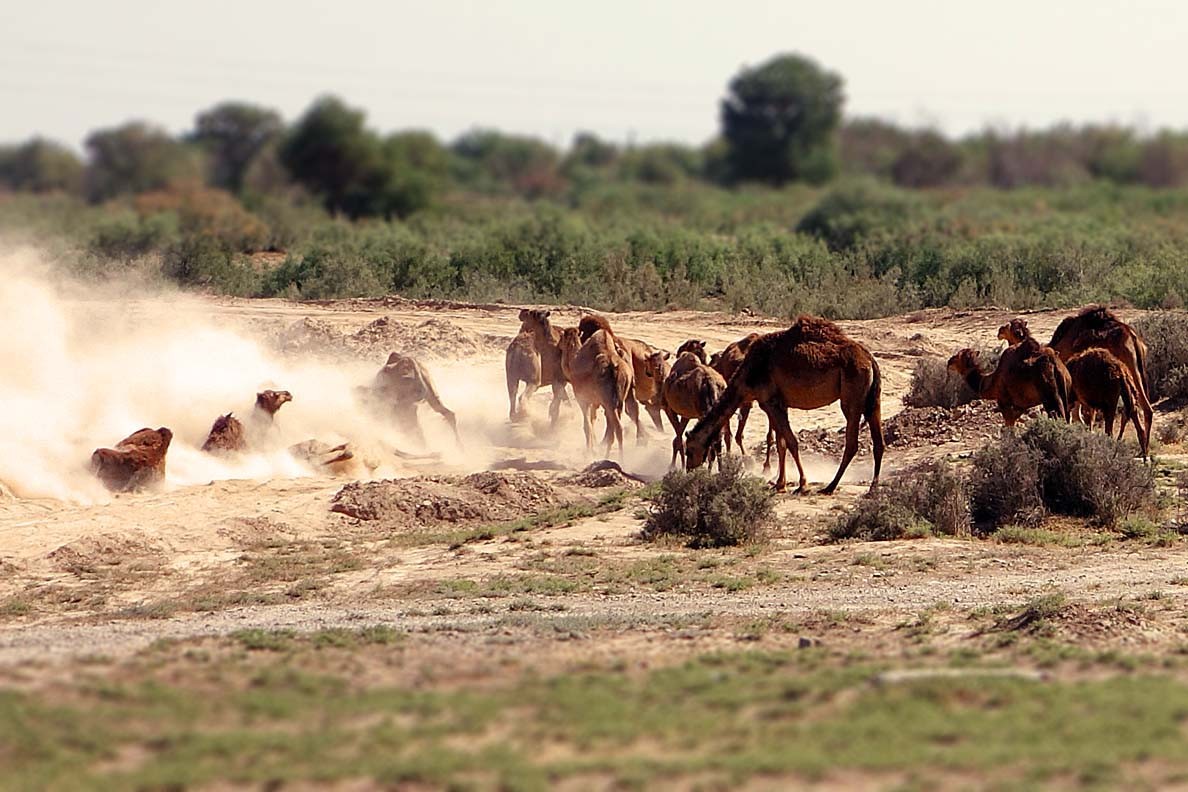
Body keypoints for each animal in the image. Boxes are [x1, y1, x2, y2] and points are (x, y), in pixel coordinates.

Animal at [553, 325, 632, 455]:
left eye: (562, 337)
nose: (558, 345)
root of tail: (616, 369)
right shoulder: (595, 401)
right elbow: (592, 419)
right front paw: (593, 447)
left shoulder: (582, 397)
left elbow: (587, 425)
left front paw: (589, 451)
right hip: (619, 399)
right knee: (614, 427)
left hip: (608, 401)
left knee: (617, 428)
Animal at [655, 341, 727, 470]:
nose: (679, 350)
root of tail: (710, 382)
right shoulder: (686, 414)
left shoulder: (668, 408)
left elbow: (678, 438)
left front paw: (674, 467)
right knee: (717, 438)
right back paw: (719, 470)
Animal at [679, 318, 883, 496]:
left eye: (689, 450)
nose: (689, 472)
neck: (748, 374)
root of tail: (870, 359)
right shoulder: (778, 403)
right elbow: (781, 443)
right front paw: (780, 484)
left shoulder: (770, 401)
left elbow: (791, 442)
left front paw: (802, 485)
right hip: (872, 399)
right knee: (878, 442)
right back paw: (872, 488)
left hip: (852, 396)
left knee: (852, 443)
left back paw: (830, 487)